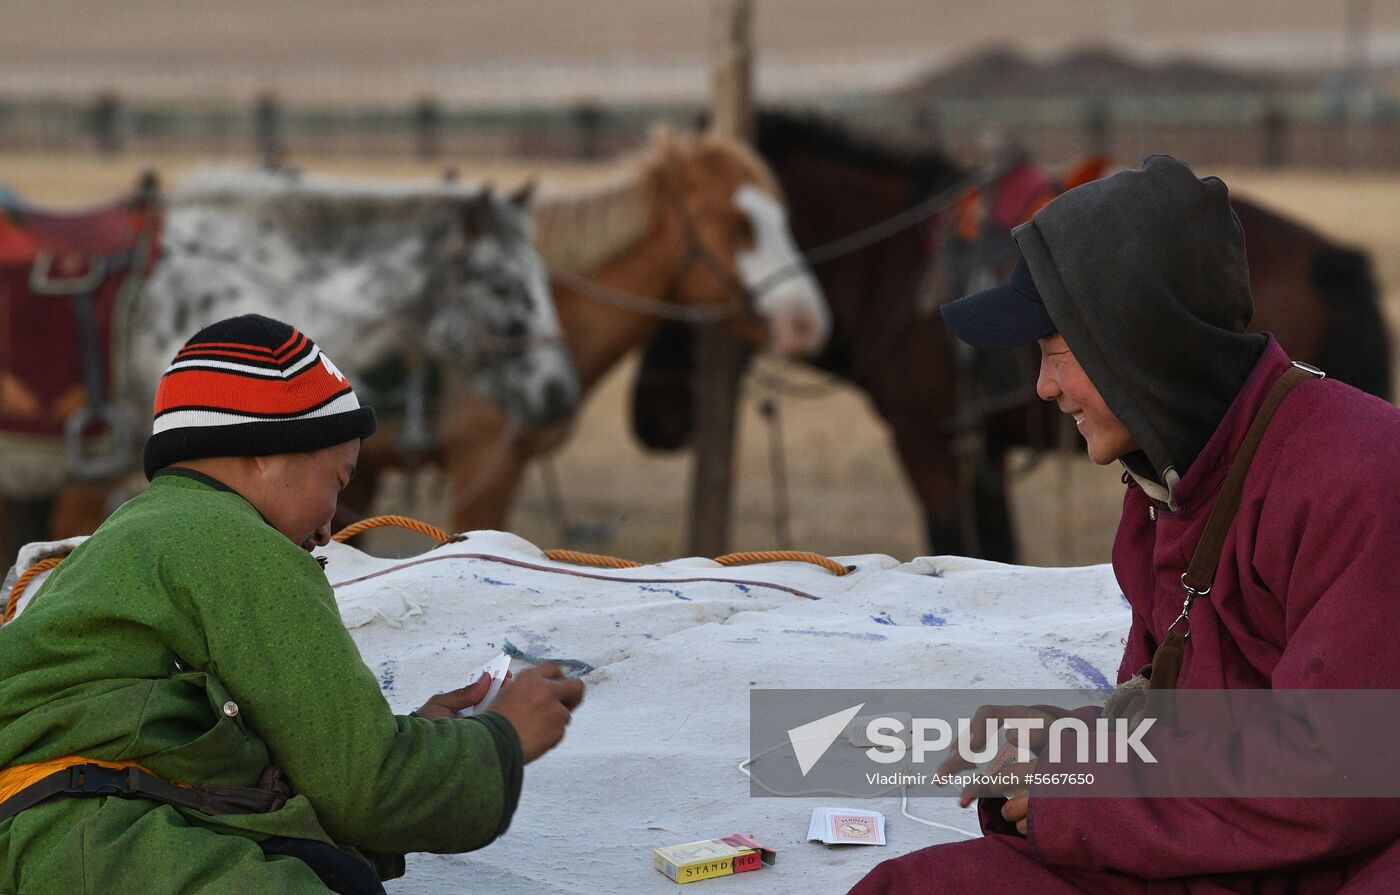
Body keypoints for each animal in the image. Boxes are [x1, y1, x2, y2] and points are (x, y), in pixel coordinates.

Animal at [632, 110, 1388, 560]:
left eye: (675, 281)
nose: (649, 420)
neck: (891, 264)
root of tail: (1328, 254)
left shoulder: (928, 444)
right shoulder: (982, 452)